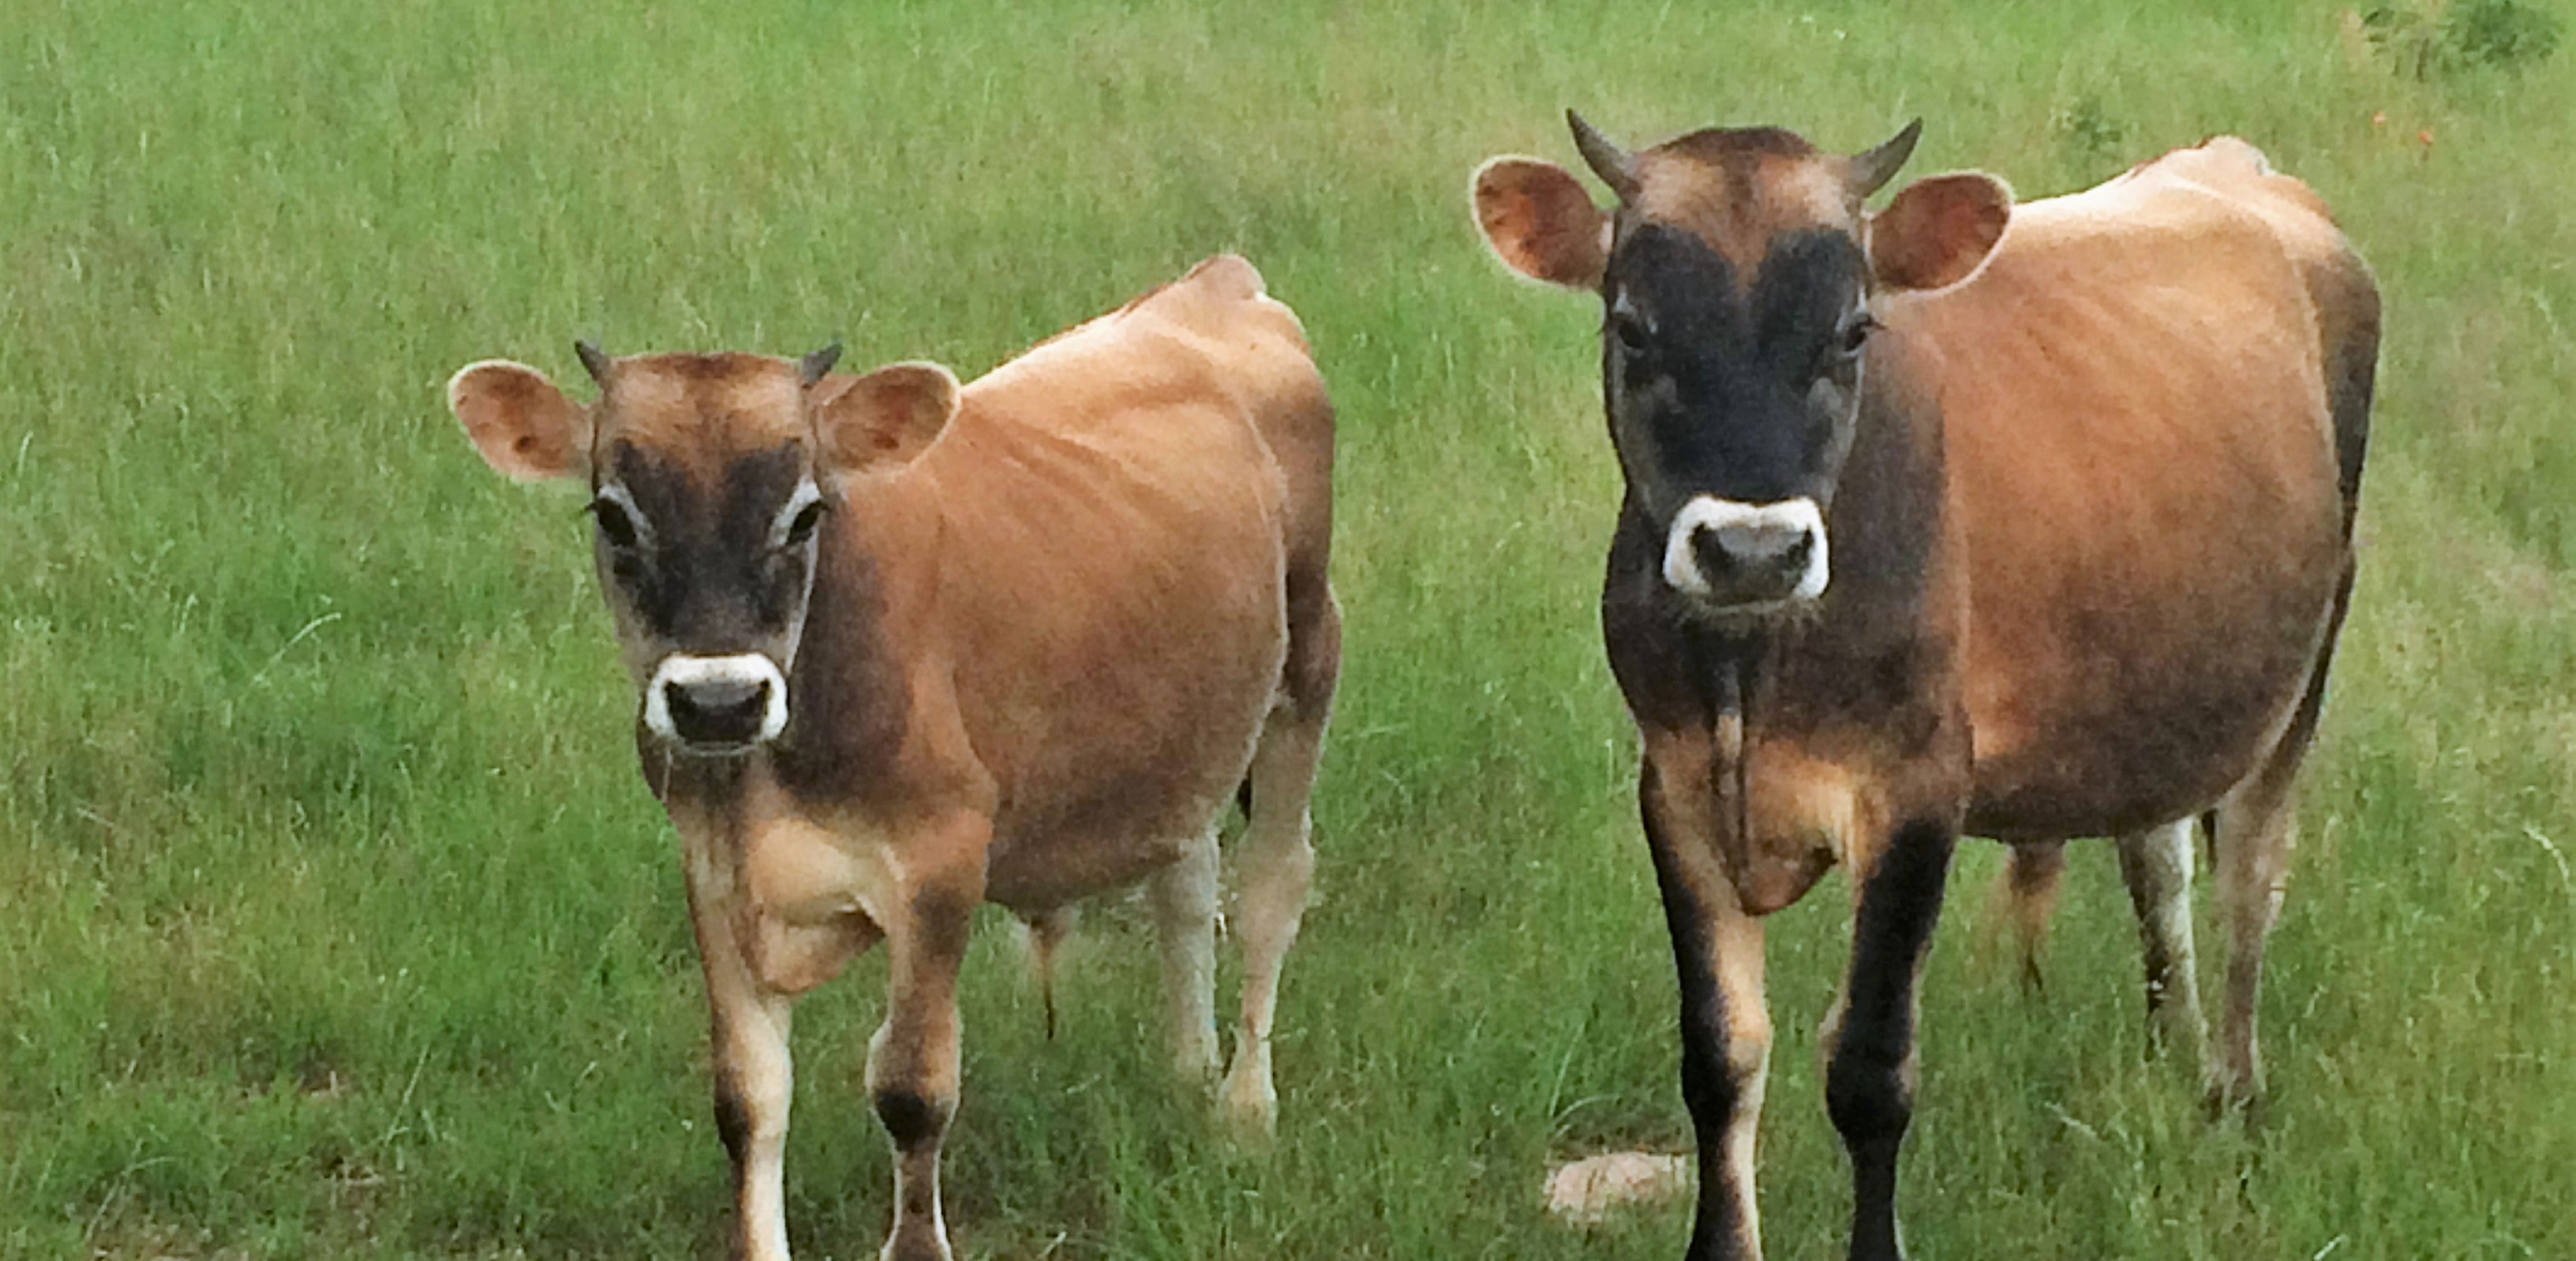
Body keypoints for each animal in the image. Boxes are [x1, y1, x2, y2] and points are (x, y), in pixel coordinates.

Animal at [442, 254, 1339, 1261]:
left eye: (805, 512)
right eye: (613, 514)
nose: (719, 699)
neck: (769, 777)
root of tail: (1213, 282)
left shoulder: (940, 861)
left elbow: (911, 1087)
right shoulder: (711, 870)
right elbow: (748, 1099)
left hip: (1308, 662)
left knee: (1270, 891)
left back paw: (1244, 1108)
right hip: (1180, 732)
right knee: (1185, 884)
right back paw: (1189, 1072)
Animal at [1470, 116, 2375, 1261]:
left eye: (1854, 330)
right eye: (1633, 327)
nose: (1753, 551)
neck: (1753, 665)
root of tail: (2230, 164)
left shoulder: (1917, 788)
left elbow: (1868, 1066)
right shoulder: (1673, 788)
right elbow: (1720, 1055)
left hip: (2307, 660)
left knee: (2251, 879)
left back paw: (2232, 1097)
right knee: (2158, 855)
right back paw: (2173, 1046)